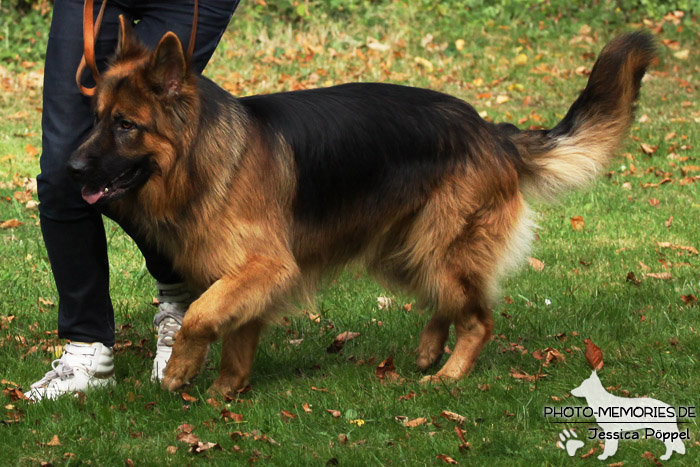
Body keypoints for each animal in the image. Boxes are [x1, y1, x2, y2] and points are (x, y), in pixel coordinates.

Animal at [68, 18, 652, 396]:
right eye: (95, 119)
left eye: (125, 125)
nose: (70, 167)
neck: (203, 157)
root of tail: (489, 130)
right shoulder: (247, 274)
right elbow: (235, 336)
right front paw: (225, 396)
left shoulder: (266, 266)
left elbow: (200, 316)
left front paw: (182, 370)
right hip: (407, 252)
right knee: (448, 301)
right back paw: (429, 350)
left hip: (442, 248)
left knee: (480, 318)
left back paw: (450, 375)